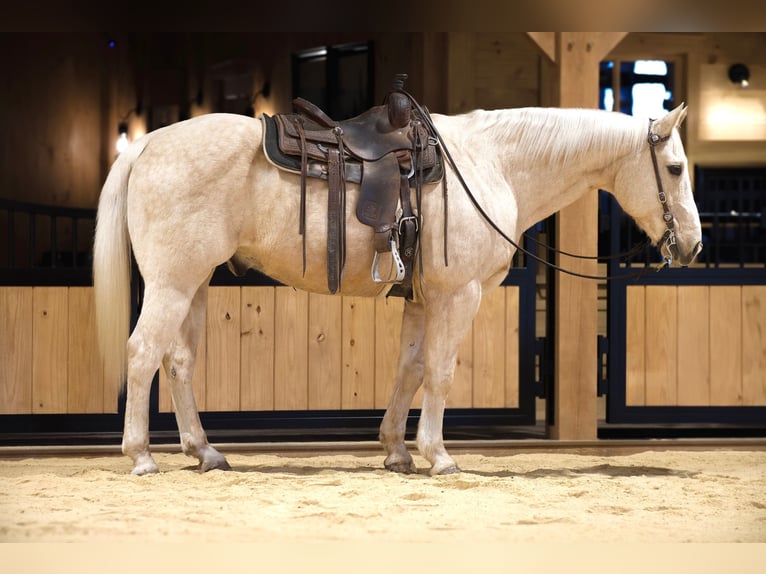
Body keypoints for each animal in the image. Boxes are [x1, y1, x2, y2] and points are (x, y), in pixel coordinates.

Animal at [94, 102, 702, 476]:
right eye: (674, 169)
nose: (694, 246)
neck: (492, 165)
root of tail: (146, 145)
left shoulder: (424, 300)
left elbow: (410, 369)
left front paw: (396, 451)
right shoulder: (459, 296)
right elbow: (441, 372)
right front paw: (439, 455)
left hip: (192, 286)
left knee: (178, 361)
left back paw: (205, 451)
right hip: (171, 284)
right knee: (142, 353)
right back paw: (141, 456)